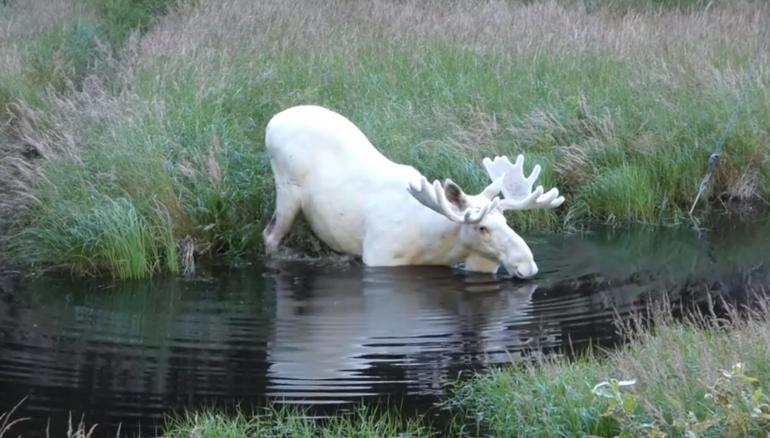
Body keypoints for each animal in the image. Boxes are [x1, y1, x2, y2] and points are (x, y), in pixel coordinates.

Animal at [260, 105, 560, 278]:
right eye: (482, 227)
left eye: (506, 221)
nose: (527, 265)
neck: (438, 244)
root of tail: (272, 121)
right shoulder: (378, 257)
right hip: (287, 191)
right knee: (270, 234)